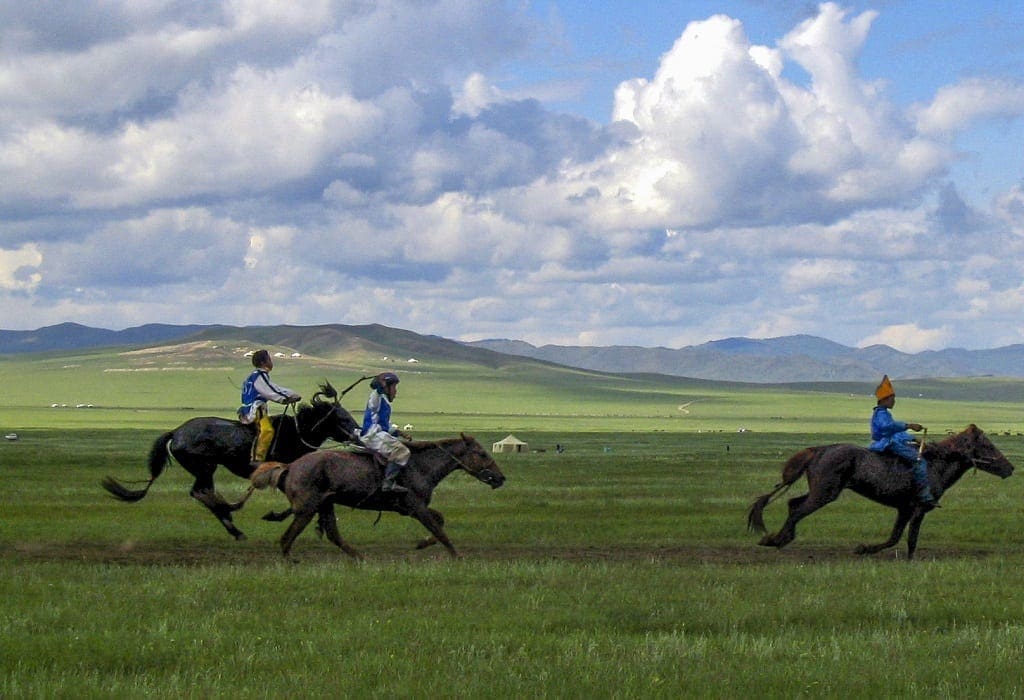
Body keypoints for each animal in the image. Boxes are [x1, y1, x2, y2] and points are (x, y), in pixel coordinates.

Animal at [102, 382, 360, 540]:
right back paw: (230, 515)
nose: (358, 433)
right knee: (200, 492)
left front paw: (319, 526)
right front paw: (277, 516)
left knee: (203, 493)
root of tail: (176, 432)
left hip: (205, 470)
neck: (296, 433)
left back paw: (230, 518)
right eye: (341, 417)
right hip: (205, 467)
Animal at [258, 433, 505, 560]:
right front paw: (457, 557)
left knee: (333, 534)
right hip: (307, 510)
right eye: (482, 453)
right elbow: (440, 530)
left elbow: (440, 522)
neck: (420, 466)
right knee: (287, 538)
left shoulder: (414, 508)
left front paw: (421, 544)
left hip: (325, 504)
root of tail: (290, 466)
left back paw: (360, 558)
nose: (501, 478)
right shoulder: (417, 508)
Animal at [749, 423, 1011, 560]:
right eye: (987, 445)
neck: (936, 464)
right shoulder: (919, 509)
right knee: (798, 510)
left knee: (793, 503)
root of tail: (820, 449)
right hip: (824, 494)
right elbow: (911, 538)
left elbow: (895, 537)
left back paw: (779, 538)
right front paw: (909, 562)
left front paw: (864, 548)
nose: (1010, 468)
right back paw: (776, 540)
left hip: (820, 492)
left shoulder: (904, 509)